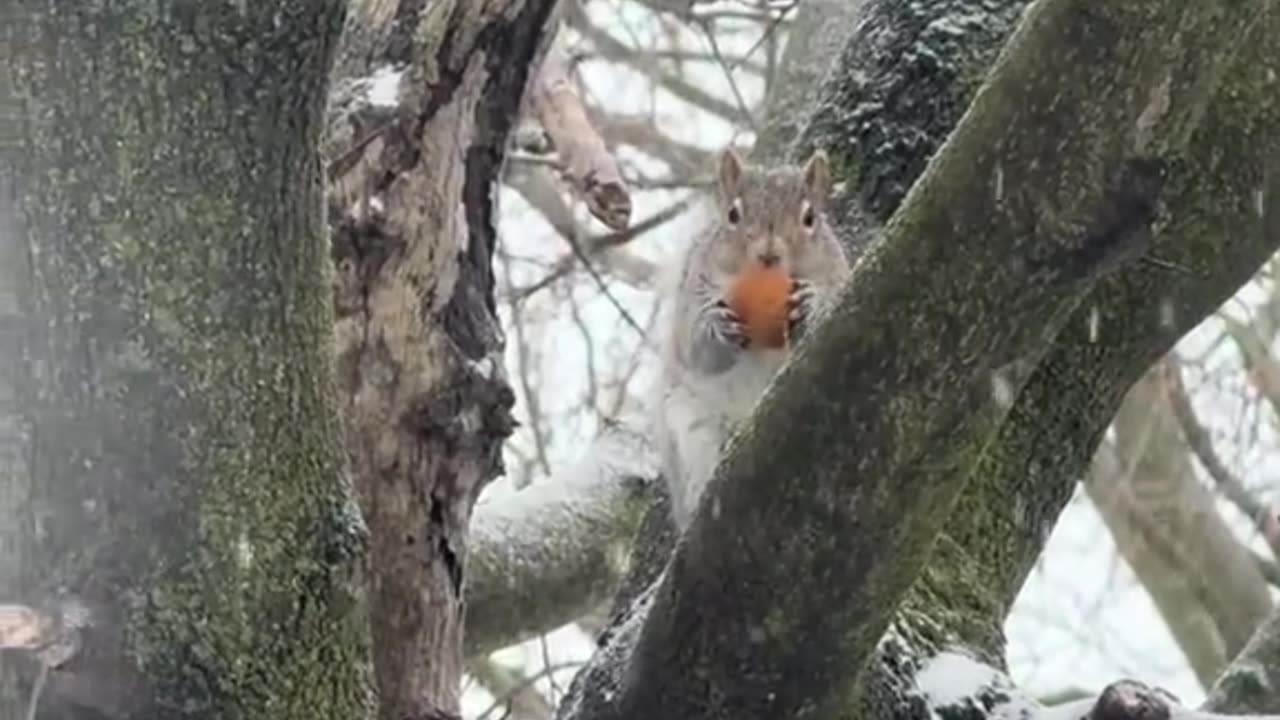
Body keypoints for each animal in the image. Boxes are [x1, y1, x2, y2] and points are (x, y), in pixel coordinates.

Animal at [655, 147, 855, 527]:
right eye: (733, 214)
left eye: (810, 218)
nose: (768, 254)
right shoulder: (692, 294)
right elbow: (695, 348)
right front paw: (717, 326)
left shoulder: (840, 277)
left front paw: (811, 304)